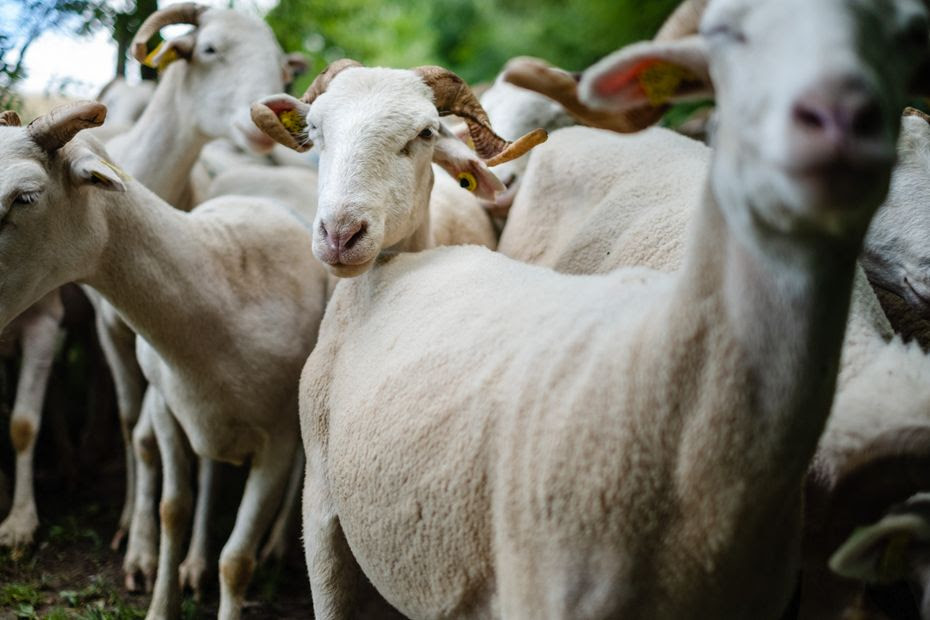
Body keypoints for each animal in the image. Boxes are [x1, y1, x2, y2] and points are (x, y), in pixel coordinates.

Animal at [0, 103, 330, 620]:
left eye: (26, 196)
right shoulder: (168, 408)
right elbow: (172, 510)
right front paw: (161, 600)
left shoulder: (276, 441)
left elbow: (237, 560)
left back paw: (276, 546)